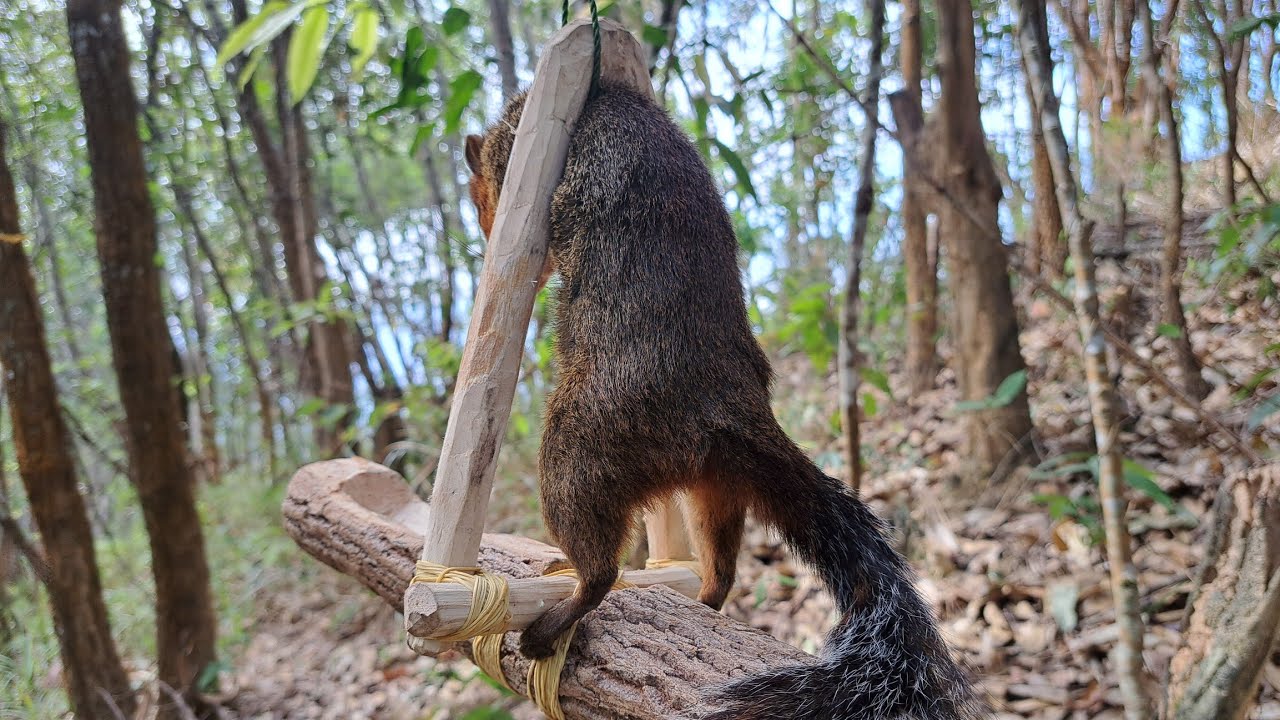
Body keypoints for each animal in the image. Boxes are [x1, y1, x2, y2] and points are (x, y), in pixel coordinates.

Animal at [465, 85, 983, 720]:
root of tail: (729, 416)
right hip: (715, 490)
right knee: (720, 573)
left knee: (601, 568)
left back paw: (558, 611)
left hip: (578, 448)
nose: (486, 238)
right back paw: (695, 596)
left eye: (479, 200)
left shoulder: (528, 157)